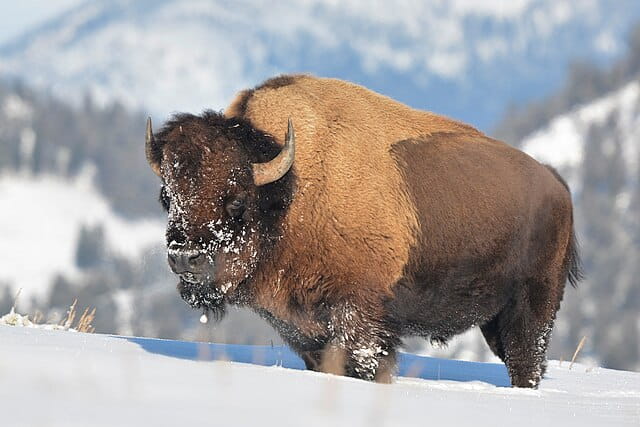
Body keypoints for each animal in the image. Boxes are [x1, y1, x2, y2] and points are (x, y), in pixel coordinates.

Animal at [145, 74, 581, 387]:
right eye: (167, 196)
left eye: (235, 200)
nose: (186, 258)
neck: (290, 188)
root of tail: (556, 184)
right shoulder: (303, 329)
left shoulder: (360, 316)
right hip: (494, 317)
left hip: (533, 303)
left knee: (526, 360)